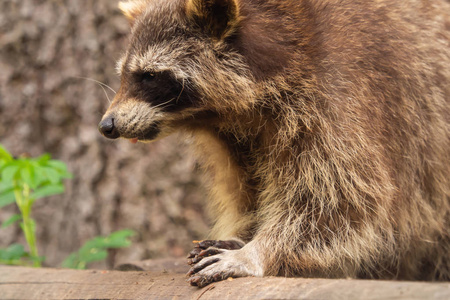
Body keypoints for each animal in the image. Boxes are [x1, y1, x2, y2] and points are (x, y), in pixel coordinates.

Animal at [100, 0, 450, 286]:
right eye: (124, 75)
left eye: (149, 76)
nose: (107, 125)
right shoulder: (233, 137)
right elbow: (247, 189)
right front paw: (243, 236)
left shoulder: (336, 97)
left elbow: (342, 200)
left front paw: (255, 253)